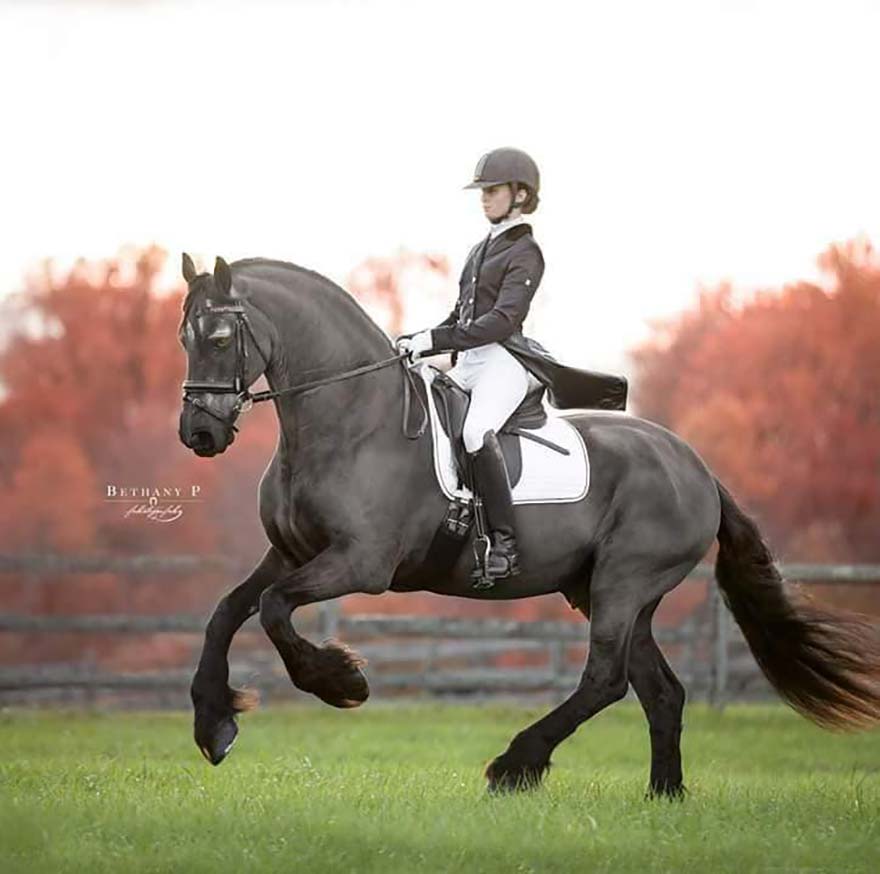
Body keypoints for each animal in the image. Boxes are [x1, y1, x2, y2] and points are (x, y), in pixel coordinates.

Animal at [177, 253, 880, 797]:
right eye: (184, 338)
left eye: (219, 339)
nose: (199, 435)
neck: (350, 421)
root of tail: (698, 468)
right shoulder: (290, 552)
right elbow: (226, 611)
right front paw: (215, 726)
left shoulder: (361, 563)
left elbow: (273, 609)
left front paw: (342, 682)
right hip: (607, 591)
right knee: (660, 691)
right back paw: (664, 796)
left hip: (625, 581)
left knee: (606, 679)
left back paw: (515, 765)